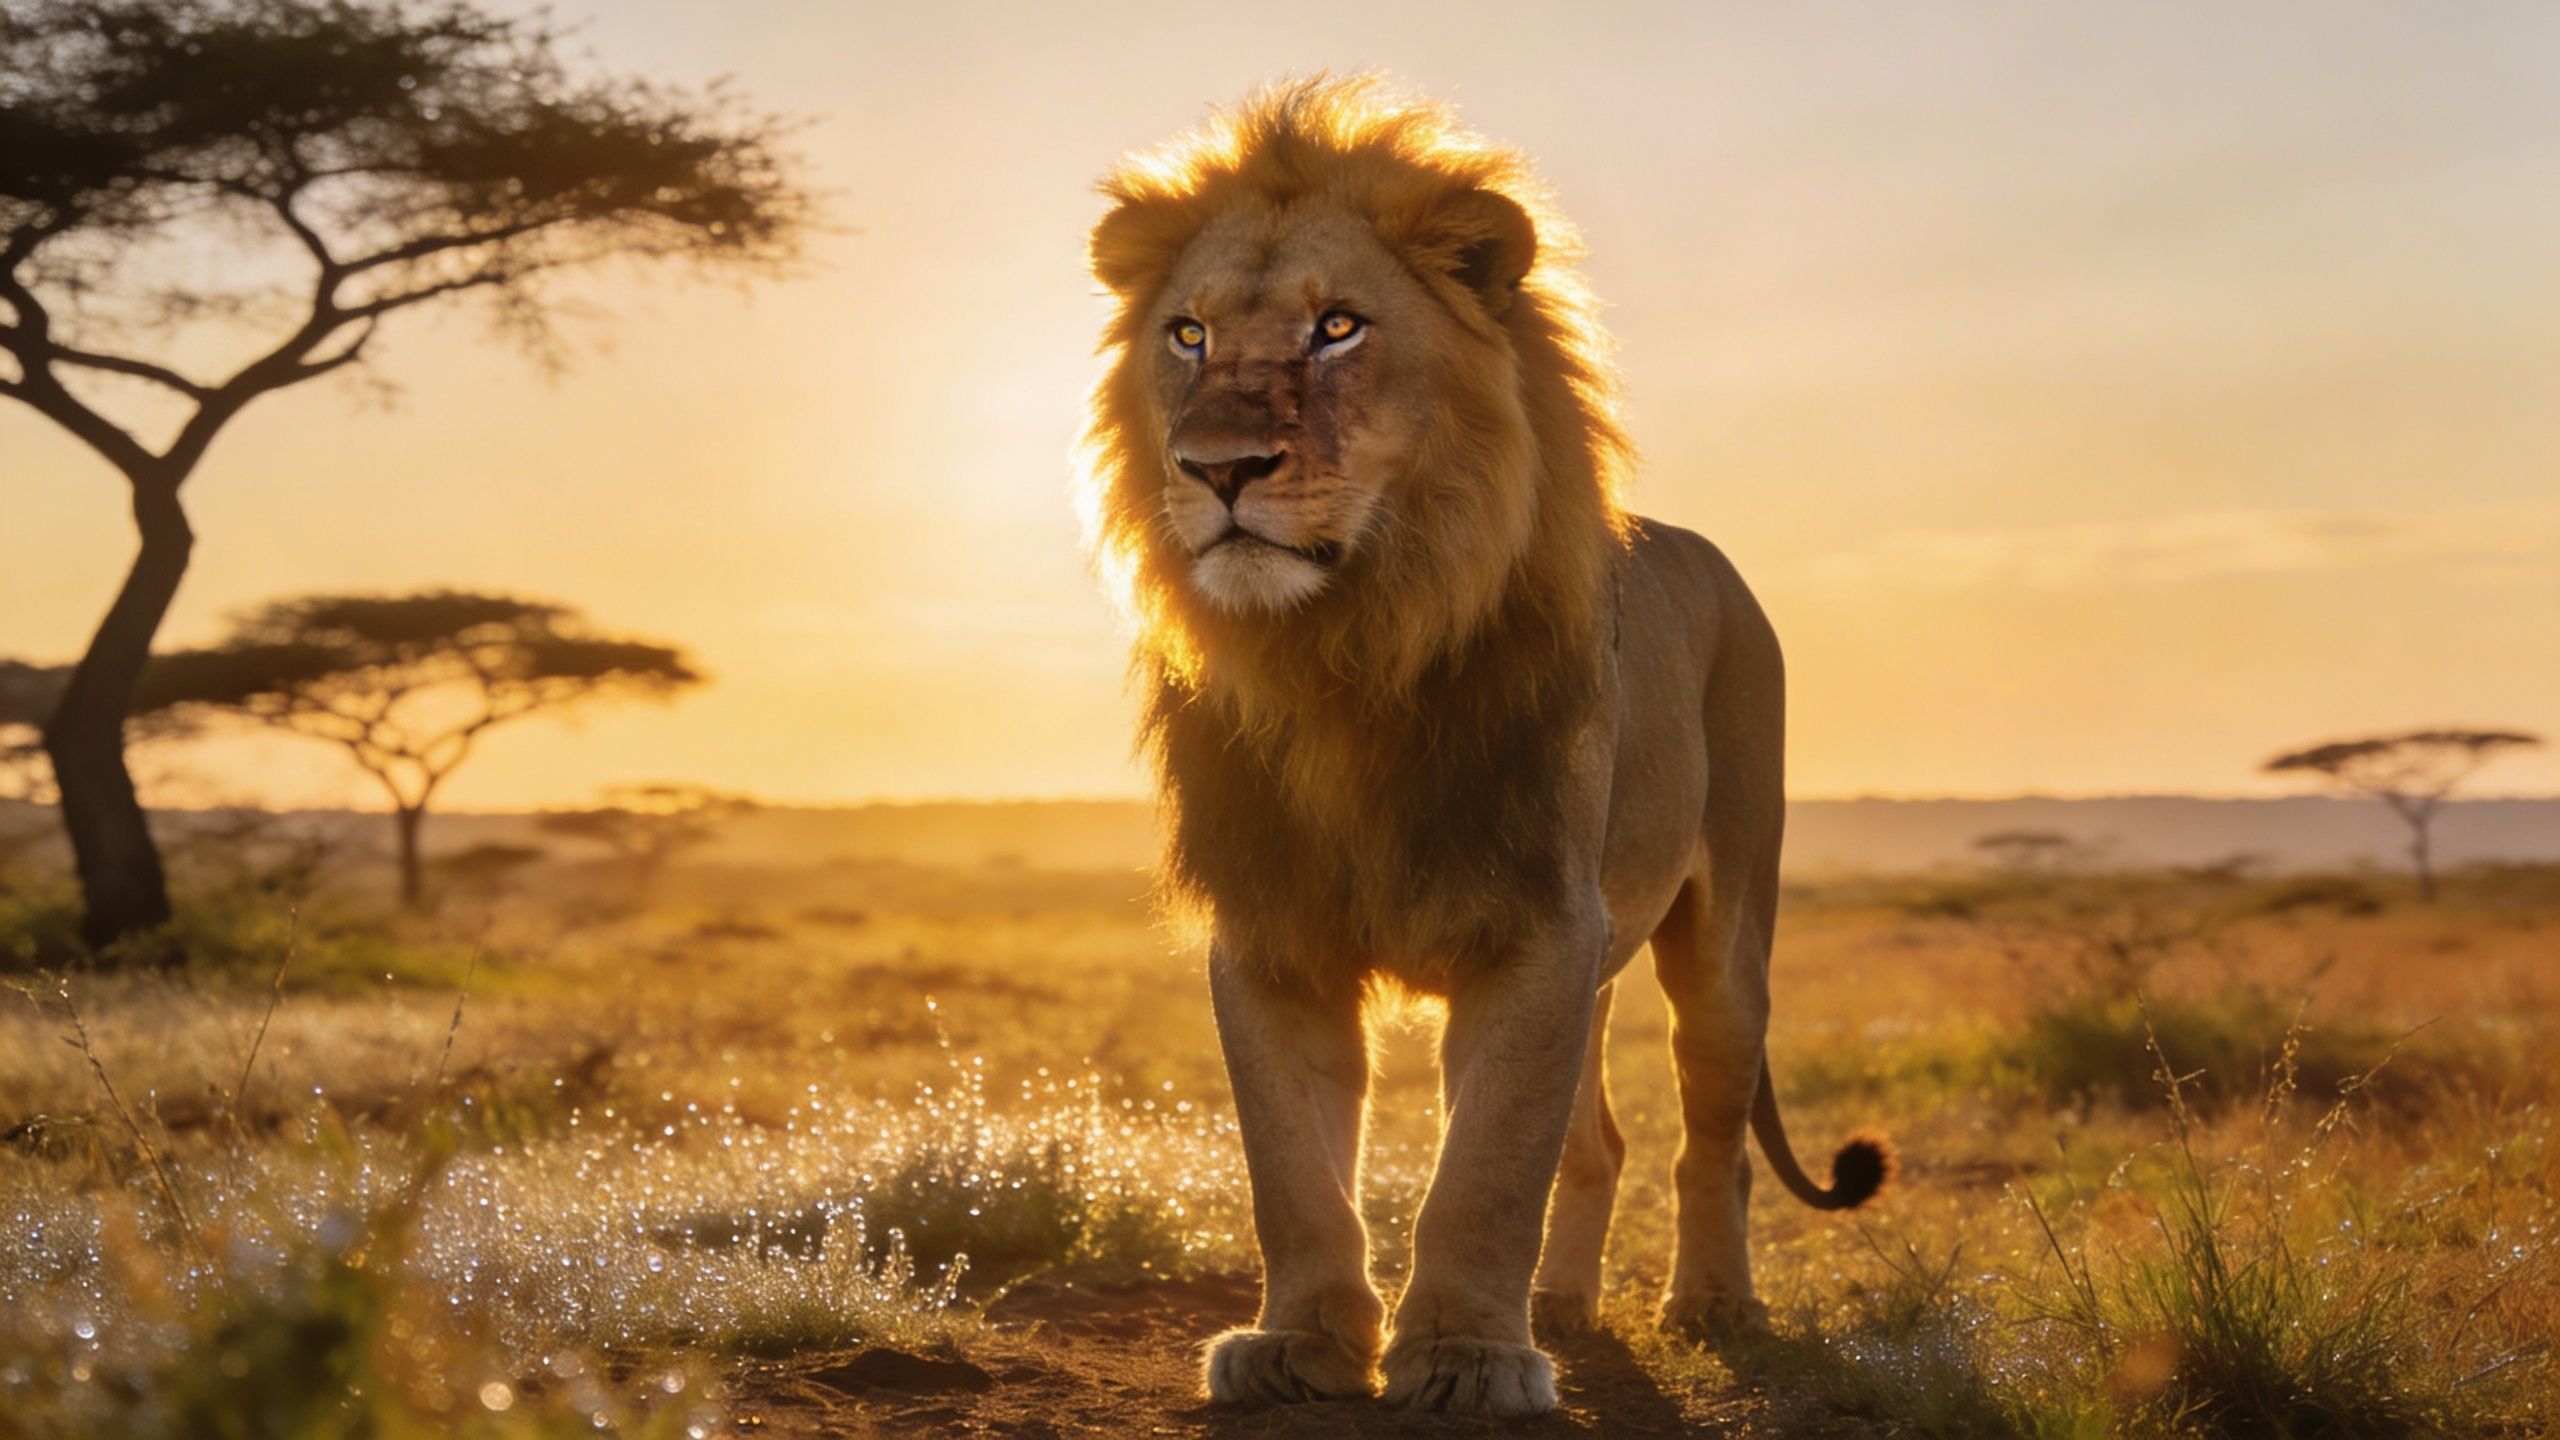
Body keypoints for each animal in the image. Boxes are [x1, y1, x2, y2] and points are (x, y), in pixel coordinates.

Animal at [1079, 77, 1893, 1417]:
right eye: (1188, 335)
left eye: (1338, 328)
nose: (1217, 469)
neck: (1344, 653)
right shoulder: (1271, 933)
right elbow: (1292, 1172)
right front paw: (1298, 1345)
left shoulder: (1534, 926)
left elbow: (1486, 1172)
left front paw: (1465, 1358)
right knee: (1600, 1140)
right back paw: (1561, 1305)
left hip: (1722, 933)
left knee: (1710, 1136)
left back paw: (1712, 1305)